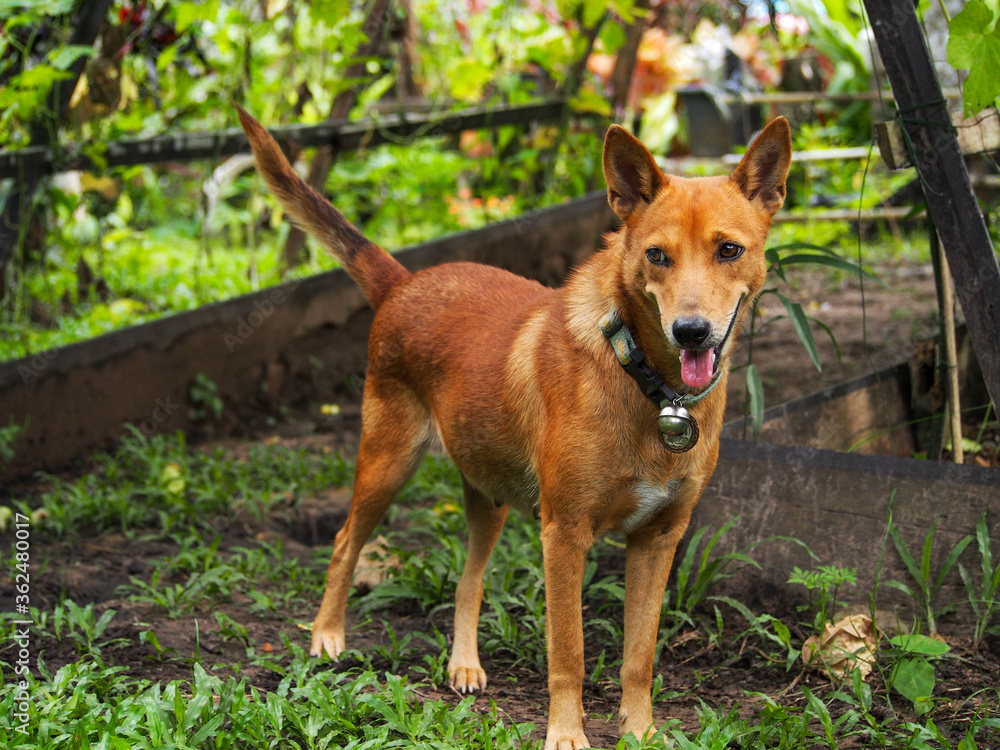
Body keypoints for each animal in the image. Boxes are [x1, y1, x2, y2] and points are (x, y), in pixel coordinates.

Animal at [238, 107, 792, 750]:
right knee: (344, 540)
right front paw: (566, 734)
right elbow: (569, 654)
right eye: (657, 256)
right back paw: (327, 635)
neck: (646, 381)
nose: (692, 332)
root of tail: (405, 283)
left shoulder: (658, 541)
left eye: (729, 250)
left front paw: (642, 730)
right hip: (387, 463)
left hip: (489, 494)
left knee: (468, 580)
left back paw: (463, 664)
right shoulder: (565, 534)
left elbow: (639, 656)